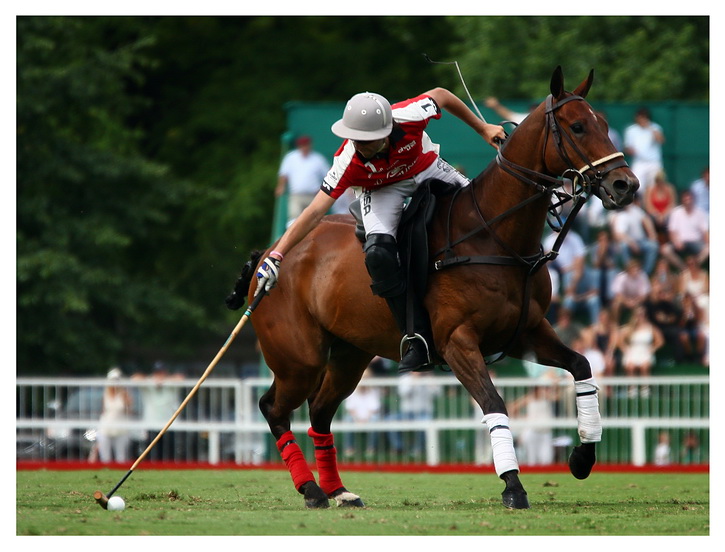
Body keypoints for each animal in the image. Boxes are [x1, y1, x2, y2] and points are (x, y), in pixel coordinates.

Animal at [228, 67, 639, 509]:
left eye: (605, 124)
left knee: (319, 412)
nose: (626, 185)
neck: (495, 236)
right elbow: (494, 403)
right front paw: (513, 485)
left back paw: (338, 489)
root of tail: (269, 252)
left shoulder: (525, 333)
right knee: (273, 408)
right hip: (298, 359)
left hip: (349, 355)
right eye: (577, 127)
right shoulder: (457, 340)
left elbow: (581, 366)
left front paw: (582, 457)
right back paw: (312, 489)